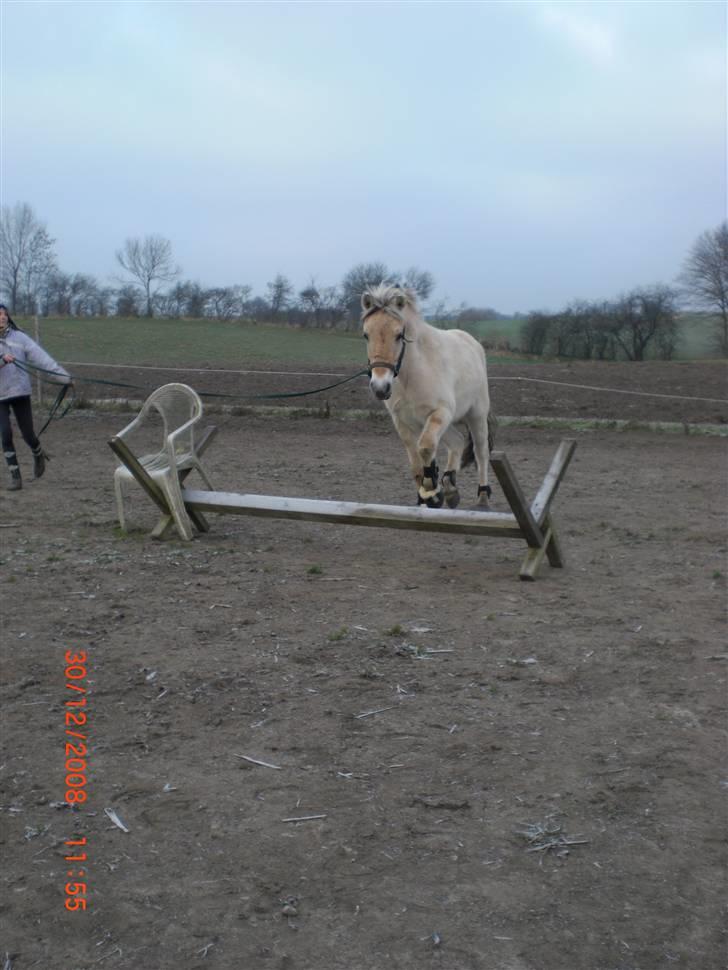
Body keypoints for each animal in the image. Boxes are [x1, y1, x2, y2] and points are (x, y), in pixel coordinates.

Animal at [362, 284, 498, 510]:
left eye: (399, 335)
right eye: (366, 335)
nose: (380, 387)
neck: (413, 374)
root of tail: (473, 343)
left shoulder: (439, 412)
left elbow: (425, 448)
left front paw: (432, 493)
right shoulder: (404, 422)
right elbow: (416, 463)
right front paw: (429, 495)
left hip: (475, 416)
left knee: (481, 452)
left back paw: (482, 498)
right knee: (457, 441)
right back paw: (450, 488)